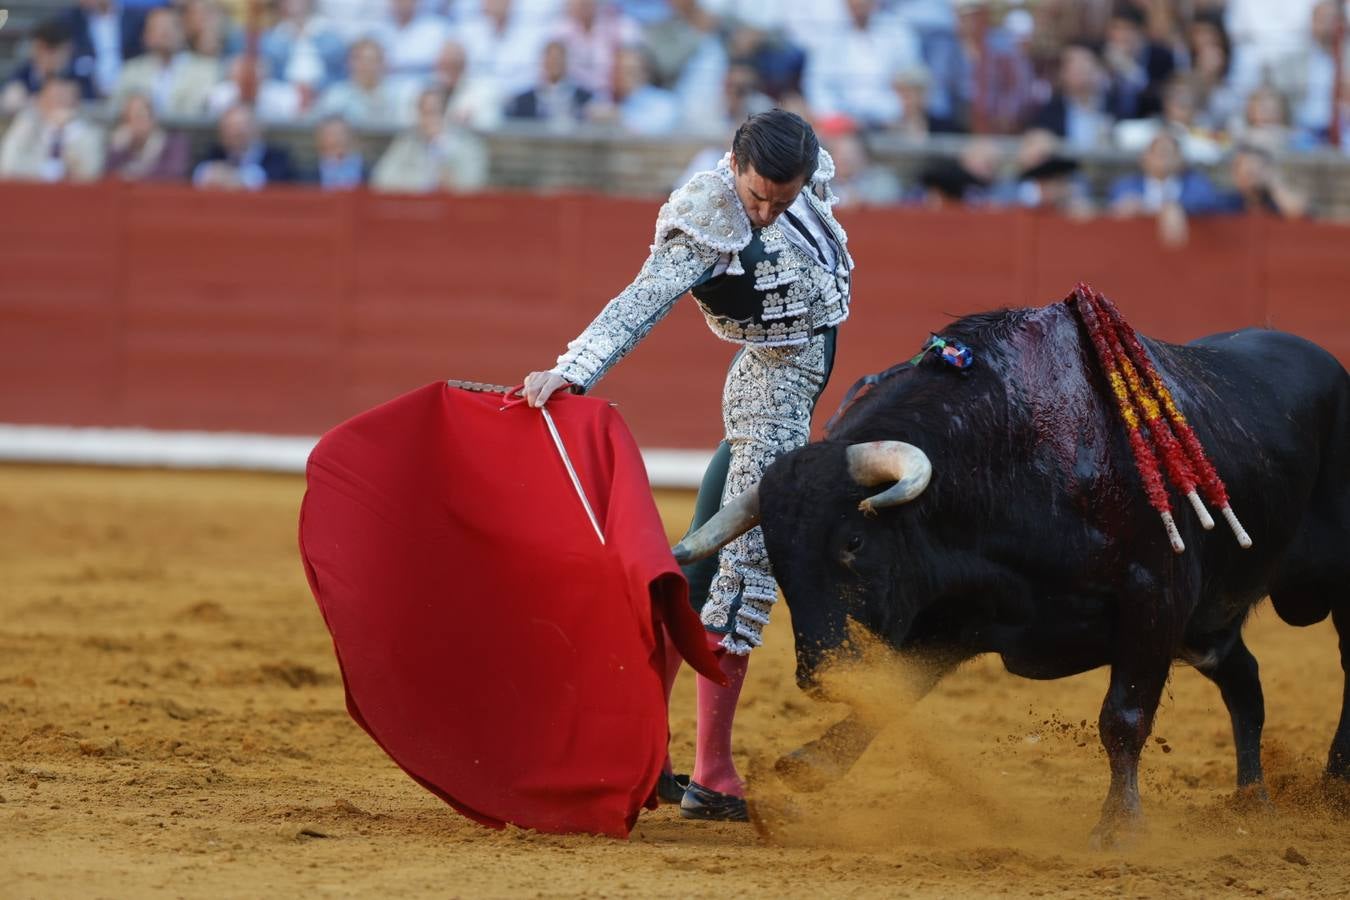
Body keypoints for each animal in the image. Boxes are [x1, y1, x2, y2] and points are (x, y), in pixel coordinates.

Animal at [680, 306, 1350, 847]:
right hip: (1208, 627)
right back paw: (1252, 800)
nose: (821, 673)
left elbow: (1123, 718)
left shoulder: (1154, 601)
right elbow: (896, 692)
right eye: (775, 554)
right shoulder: (963, 617)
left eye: (852, 541)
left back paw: (1334, 786)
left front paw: (1118, 828)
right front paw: (809, 767)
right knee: (1245, 680)